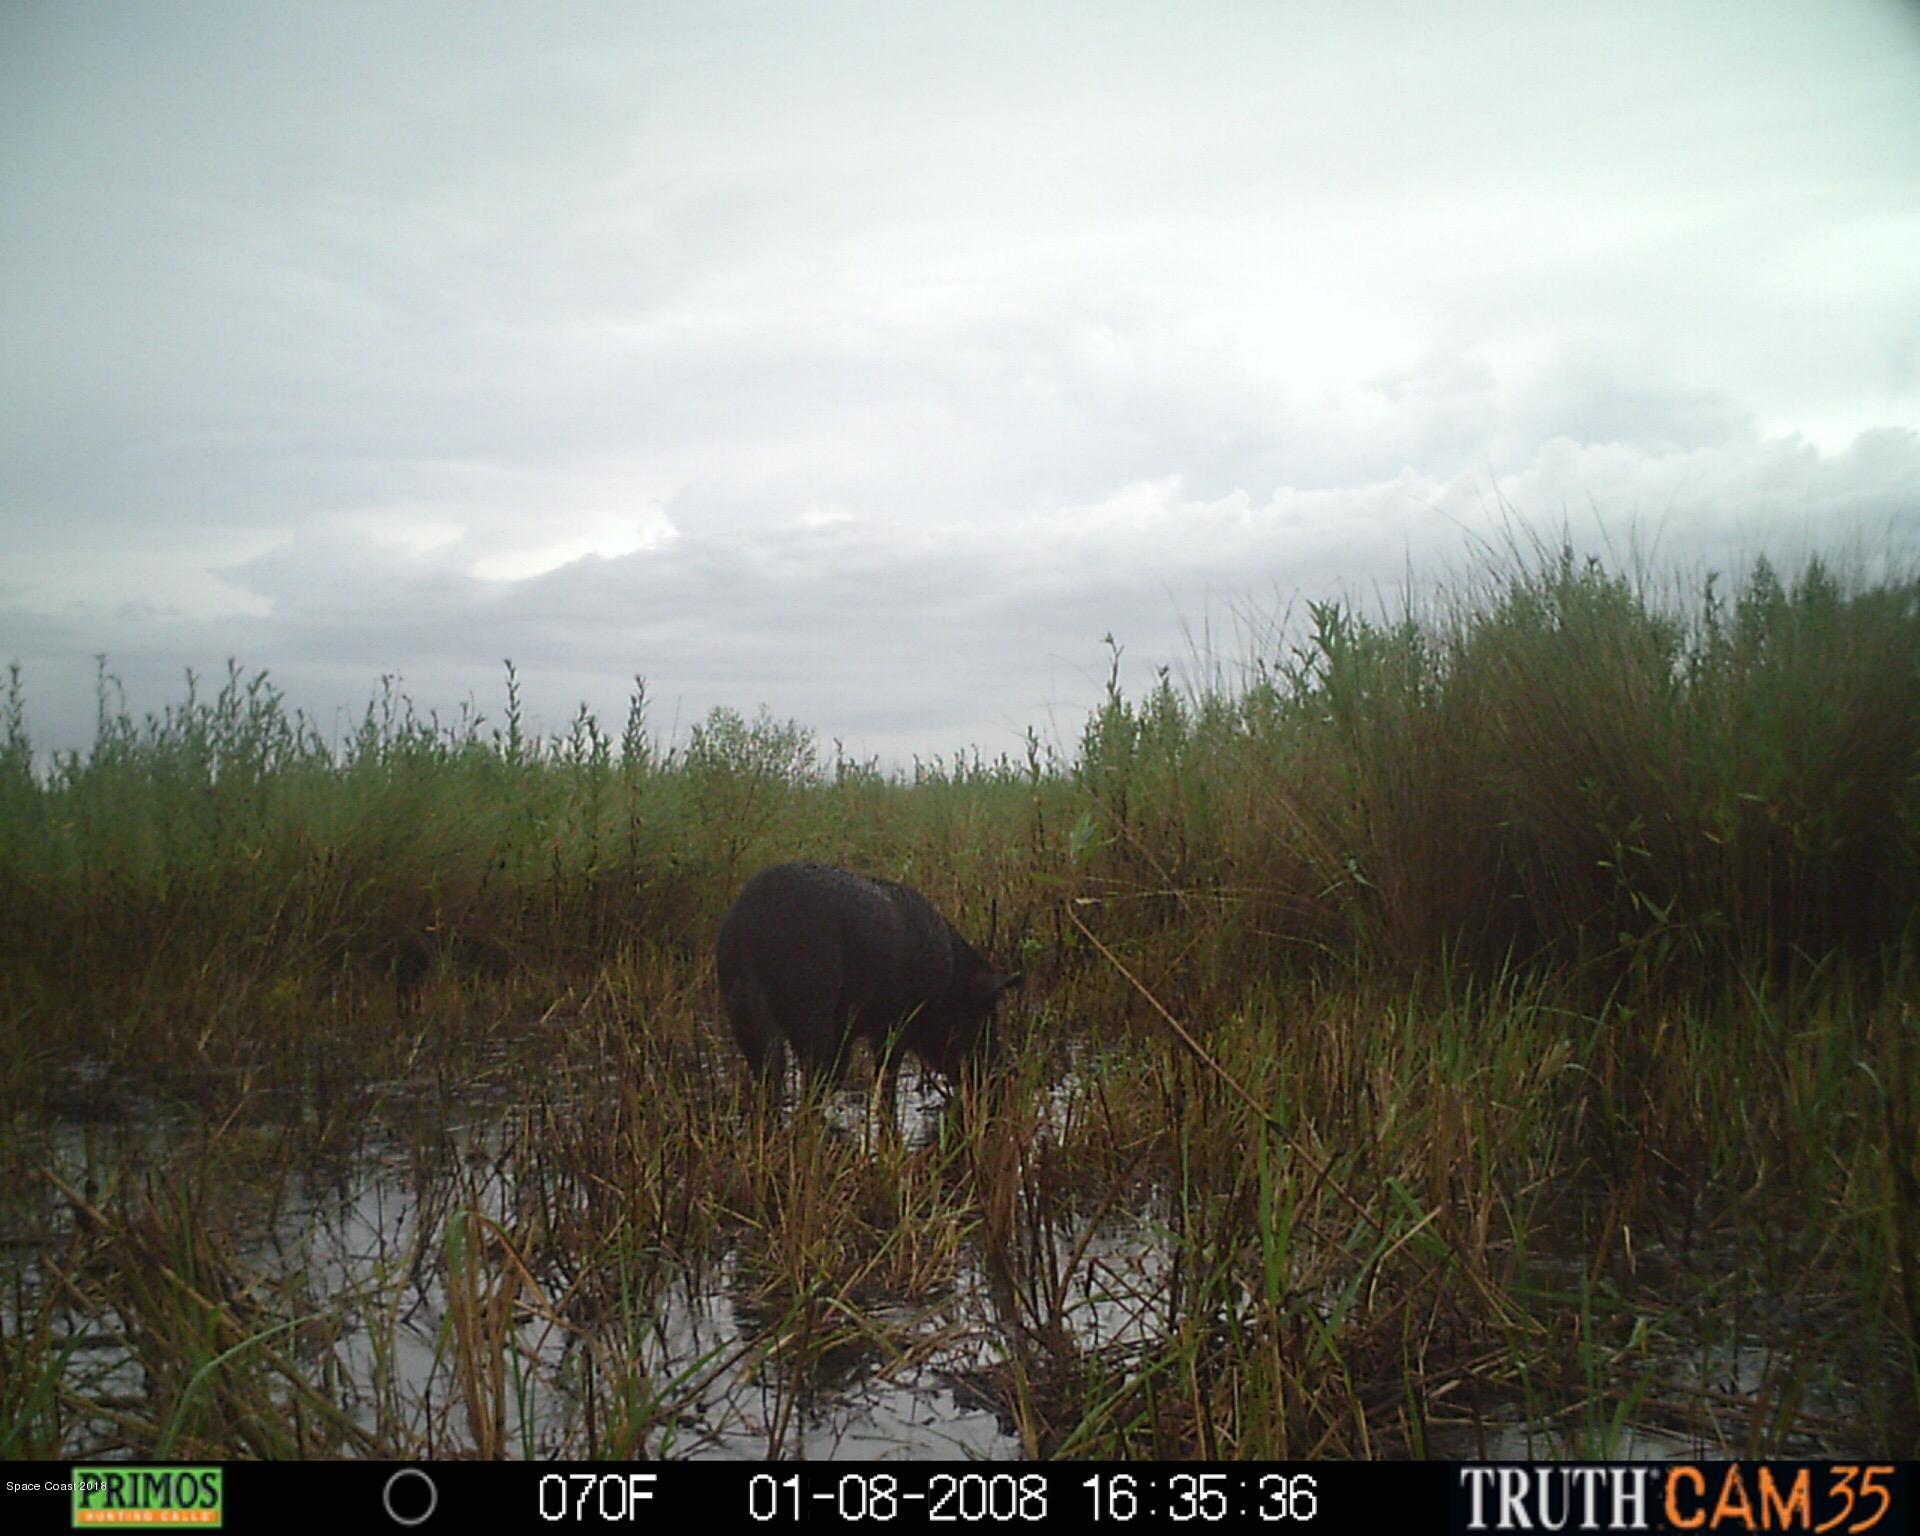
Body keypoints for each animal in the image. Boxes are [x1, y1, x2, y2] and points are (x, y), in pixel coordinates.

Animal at [716, 862, 1022, 1106]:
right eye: (987, 1014)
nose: (1008, 1074)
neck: (949, 983)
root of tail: (747, 926)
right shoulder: (897, 1024)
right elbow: (886, 1078)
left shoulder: (851, 1030)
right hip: (811, 1004)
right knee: (808, 1076)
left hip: (740, 1010)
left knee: (770, 1072)